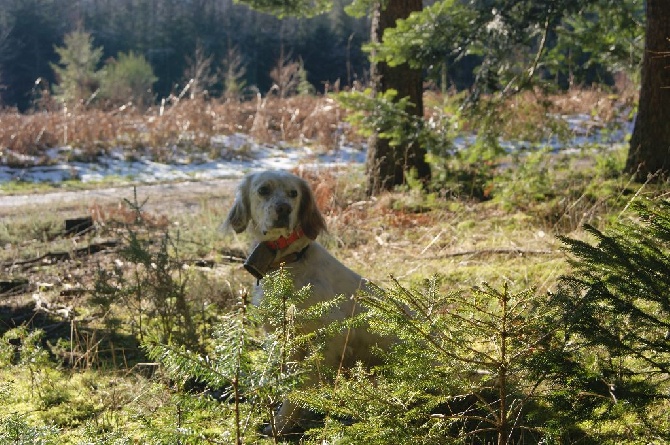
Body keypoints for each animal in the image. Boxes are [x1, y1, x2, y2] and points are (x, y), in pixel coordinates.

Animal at [226, 170, 386, 434]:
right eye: (263, 190)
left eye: (294, 193)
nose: (284, 208)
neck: (287, 262)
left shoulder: (332, 334)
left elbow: (299, 386)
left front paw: (281, 424)